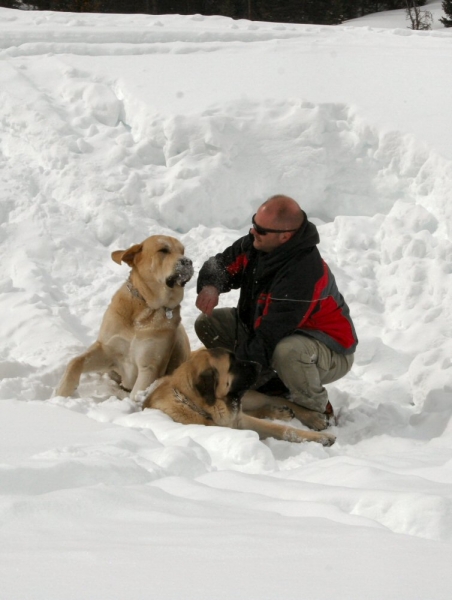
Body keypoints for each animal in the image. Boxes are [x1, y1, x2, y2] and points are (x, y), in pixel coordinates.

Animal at [54, 237, 192, 400]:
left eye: (182, 251)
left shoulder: (150, 366)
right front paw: (62, 392)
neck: (145, 307)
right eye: (163, 250)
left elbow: (136, 395)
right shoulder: (106, 349)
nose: (188, 261)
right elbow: (75, 361)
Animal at [143, 346, 338, 446]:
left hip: (252, 397)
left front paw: (322, 438)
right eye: (232, 364)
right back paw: (279, 412)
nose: (258, 364)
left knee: (275, 399)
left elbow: (285, 430)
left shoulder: (243, 421)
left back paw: (313, 417)